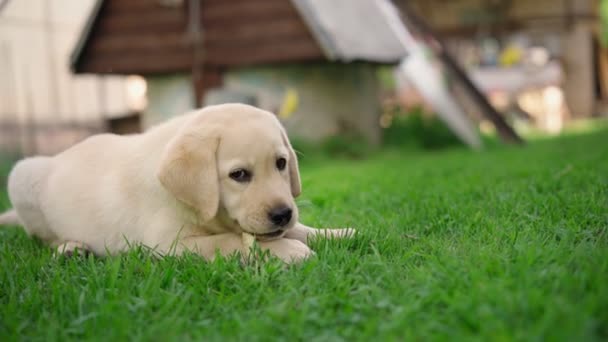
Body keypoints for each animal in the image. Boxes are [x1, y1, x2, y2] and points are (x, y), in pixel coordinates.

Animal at [0, 103, 354, 264]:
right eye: (239, 175)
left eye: (281, 164)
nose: (282, 214)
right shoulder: (166, 243)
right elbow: (229, 241)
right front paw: (287, 250)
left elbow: (301, 229)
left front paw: (339, 233)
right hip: (21, 177)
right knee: (44, 239)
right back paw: (71, 248)